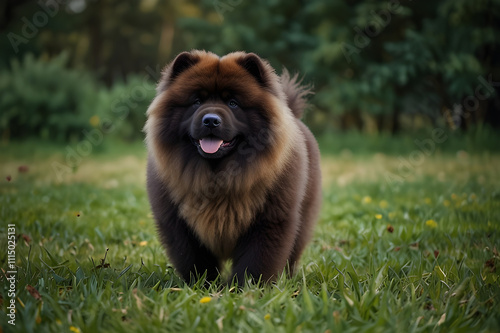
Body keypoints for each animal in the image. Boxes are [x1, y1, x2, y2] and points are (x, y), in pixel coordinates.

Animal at [145, 50, 322, 284]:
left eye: (233, 103)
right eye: (197, 101)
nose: (211, 120)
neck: (216, 174)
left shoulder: (270, 220)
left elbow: (256, 260)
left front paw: (245, 288)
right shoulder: (178, 223)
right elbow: (194, 258)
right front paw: (204, 285)